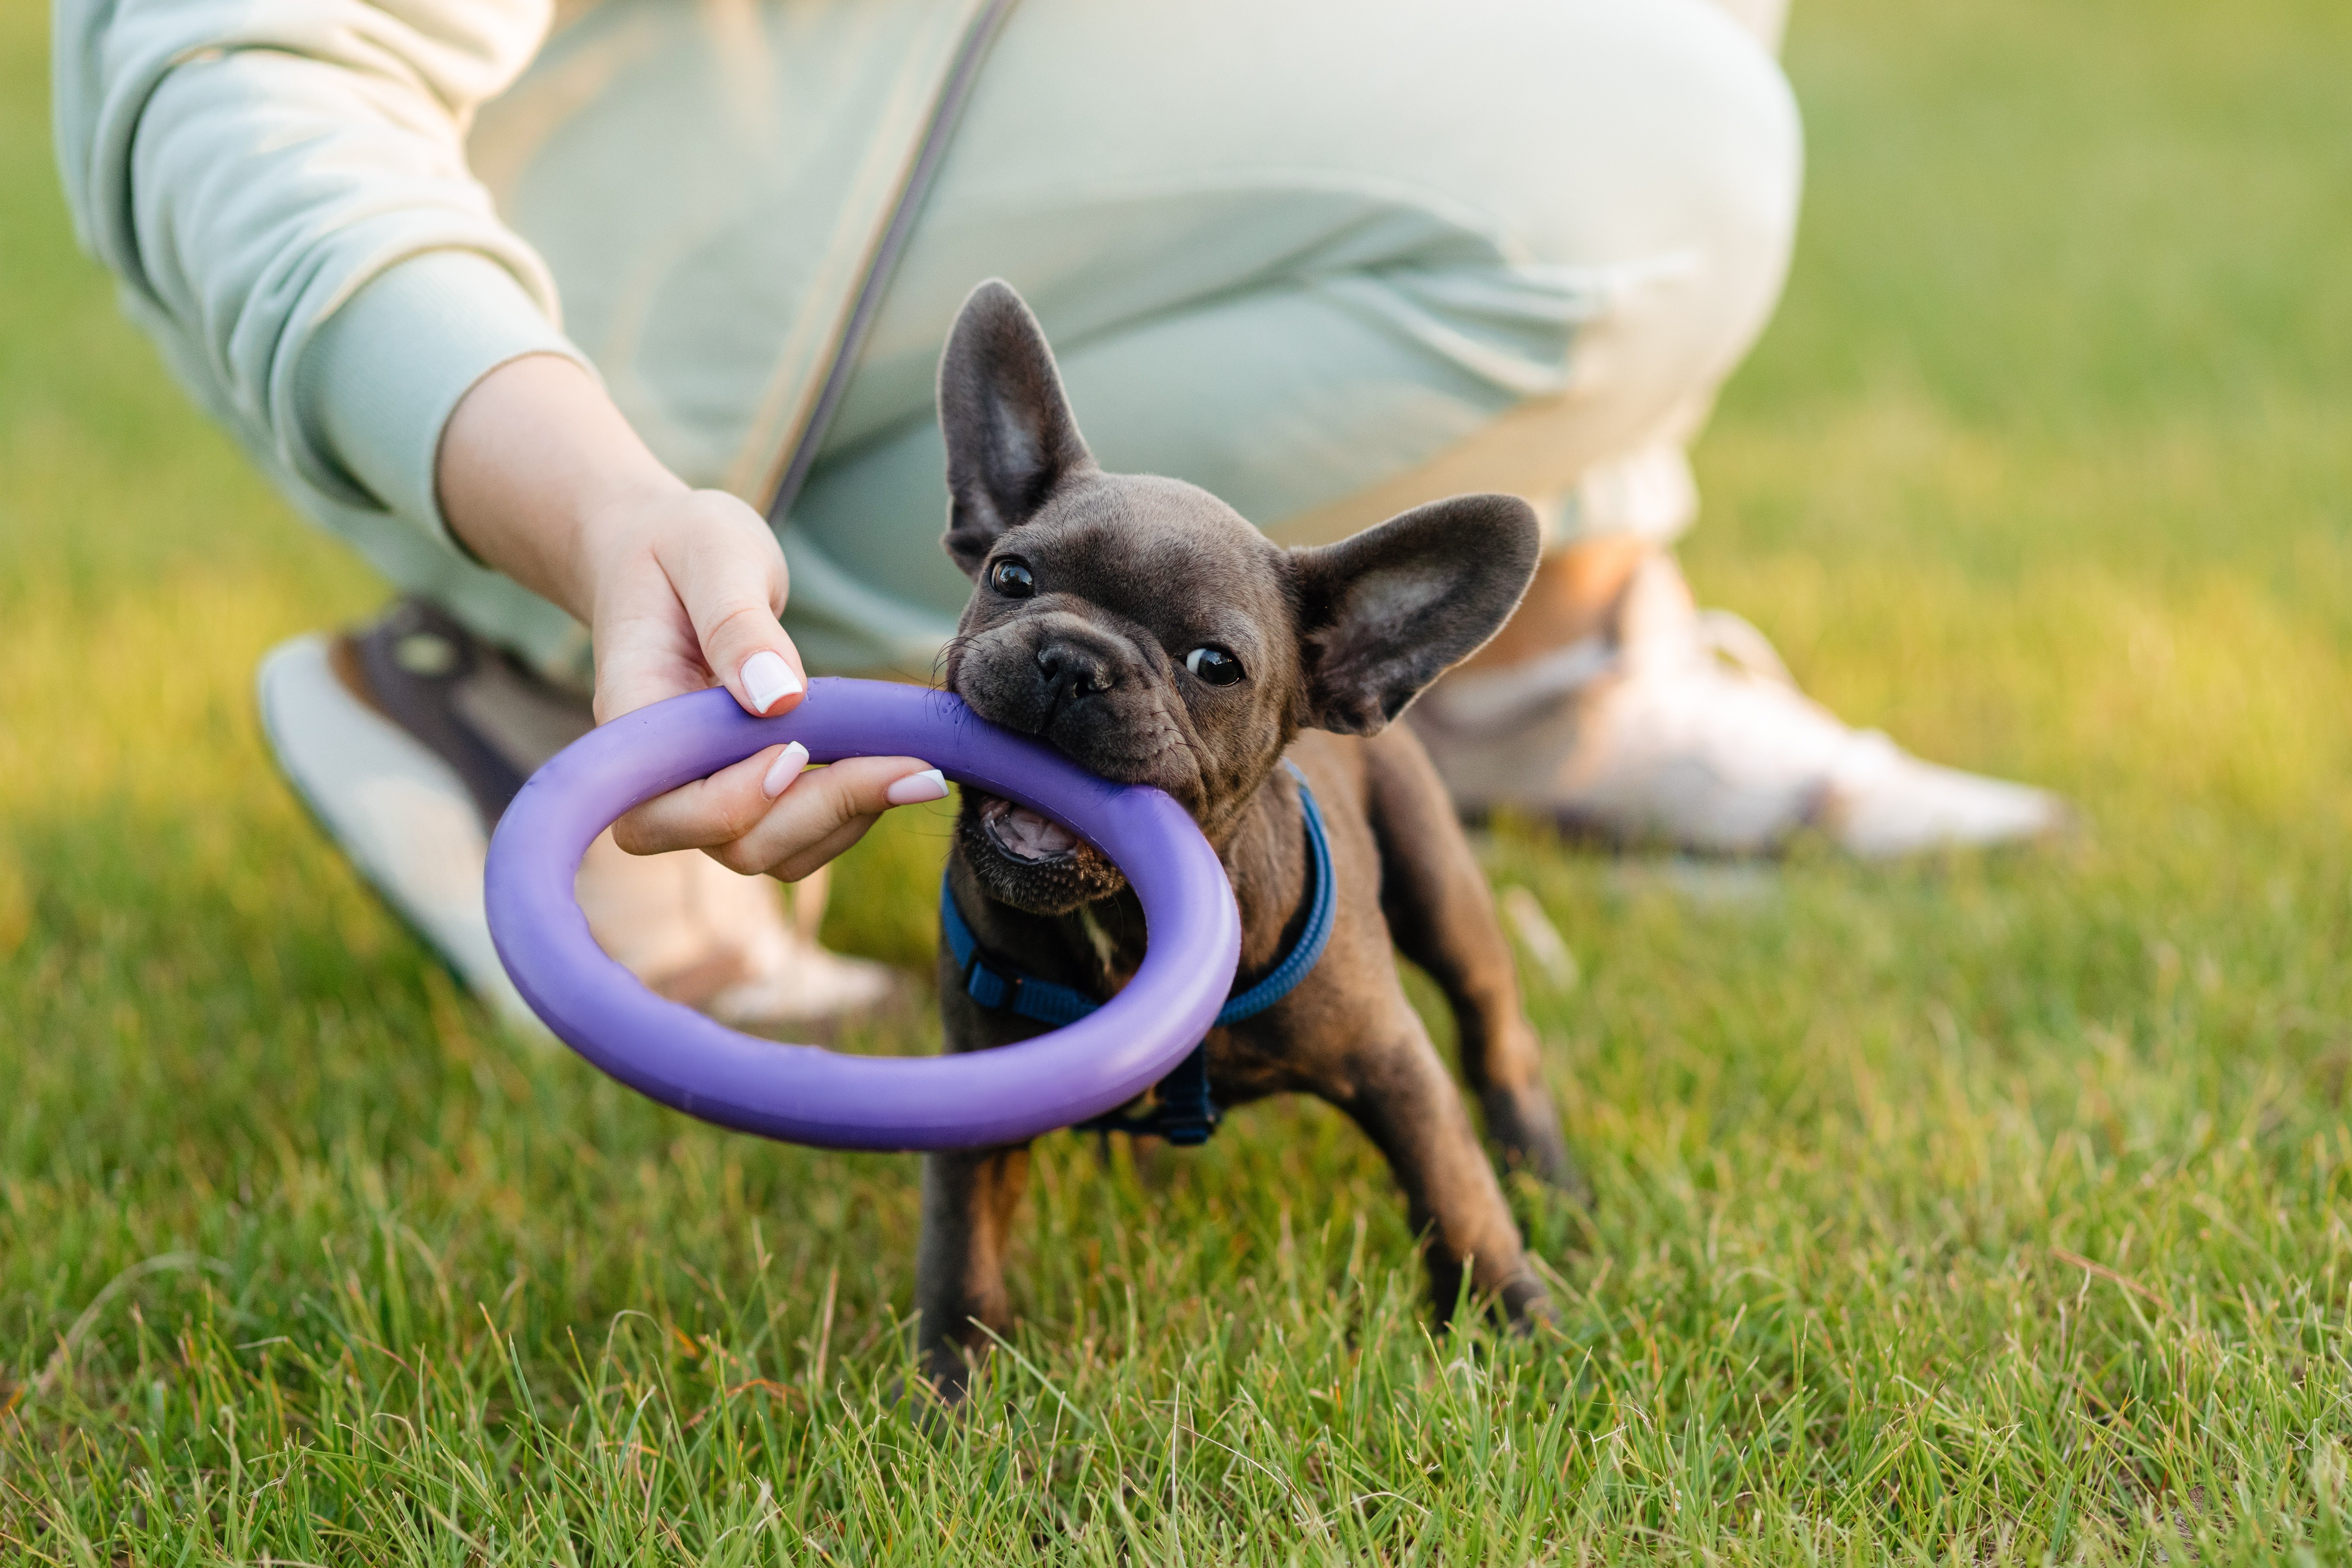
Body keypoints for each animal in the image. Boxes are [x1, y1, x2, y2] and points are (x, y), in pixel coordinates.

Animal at [917, 282, 1581, 1401]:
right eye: (1010, 575)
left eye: (1213, 664)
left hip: (1439, 883)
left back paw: (1551, 1180)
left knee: (1497, 1028)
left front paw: (1515, 1321)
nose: (1072, 658)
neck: (1122, 926)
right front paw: (952, 1385)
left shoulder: (1392, 1064)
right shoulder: (975, 1090)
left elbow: (1454, 1193)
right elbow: (963, 1240)